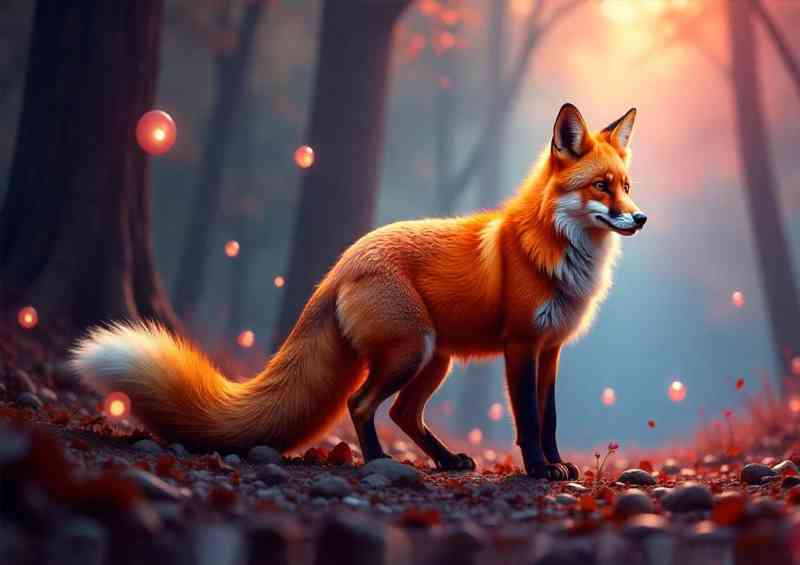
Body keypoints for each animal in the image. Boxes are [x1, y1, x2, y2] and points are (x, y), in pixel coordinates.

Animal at [71, 103, 646, 480]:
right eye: (601, 187)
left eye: (626, 186)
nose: (640, 218)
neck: (555, 252)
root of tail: (342, 262)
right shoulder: (521, 346)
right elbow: (527, 418)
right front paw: (537, 470)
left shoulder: (551, 350)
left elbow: (549, 418)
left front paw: (557, 464)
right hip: (412, 351)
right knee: (361, 403)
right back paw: (377, 462)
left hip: (433, 359)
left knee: (402, 414)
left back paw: (444, 461)